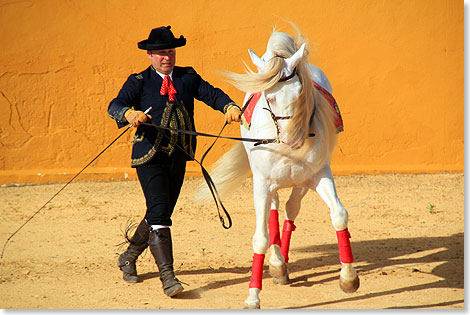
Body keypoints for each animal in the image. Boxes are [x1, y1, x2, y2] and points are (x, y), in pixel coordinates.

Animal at [196, 26, 358, 308]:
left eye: (300, 93)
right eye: (269, 97)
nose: (293, 140)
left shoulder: (318, 175)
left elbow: (338, 214)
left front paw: (348, 278)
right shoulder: (262, 184)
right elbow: (260, 238)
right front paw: (253, 295)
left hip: (301, 182)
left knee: (290, 209)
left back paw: (282, 263)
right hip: (267, 184)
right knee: (273, 210)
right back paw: (277, 263)